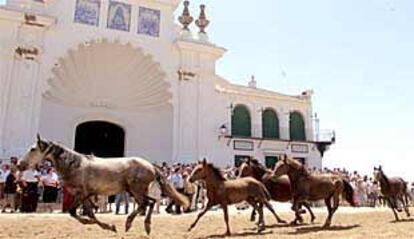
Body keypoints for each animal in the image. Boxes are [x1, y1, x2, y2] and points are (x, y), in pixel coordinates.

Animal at [17, 135, 189, 234]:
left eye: (33, 149)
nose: (19, 165)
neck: (75, 165)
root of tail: (151, 166)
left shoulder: (80, 194)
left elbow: (75, 213)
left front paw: (109, 226)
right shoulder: (86, 195)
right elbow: (89, 214)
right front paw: (109, 227)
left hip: (136, 190)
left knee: (145, 204)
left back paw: (129, 224)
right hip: (134, 191)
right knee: (150, 203)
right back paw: (145, 226)